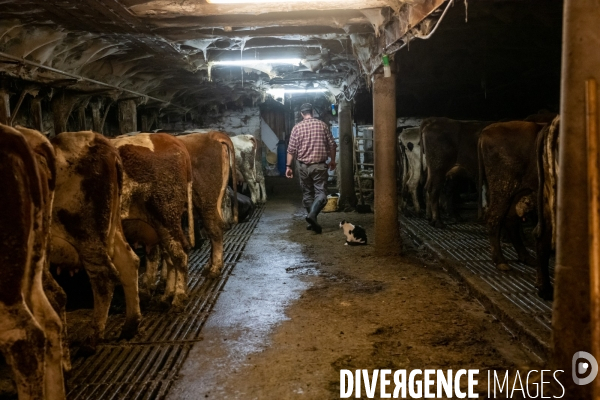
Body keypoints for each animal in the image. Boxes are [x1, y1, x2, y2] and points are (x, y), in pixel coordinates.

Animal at [48, 131, 142, 350]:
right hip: (112, 227)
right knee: (129, 262)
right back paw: (130, 326)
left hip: (87, 234)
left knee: (104, 277)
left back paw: (92, 340)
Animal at [112, 134, 195, 310]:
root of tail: (170, 139)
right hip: (161, 224)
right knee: (168, 256)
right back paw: (166, 295)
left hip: (166, 214)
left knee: (178, 252)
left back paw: (178, 296)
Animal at [476, 116, 560, 300]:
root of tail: (486, 131)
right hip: (503, 188)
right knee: (495, 218)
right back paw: (501, 262)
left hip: (517, 192)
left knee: (511, 220)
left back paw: (526, 257)